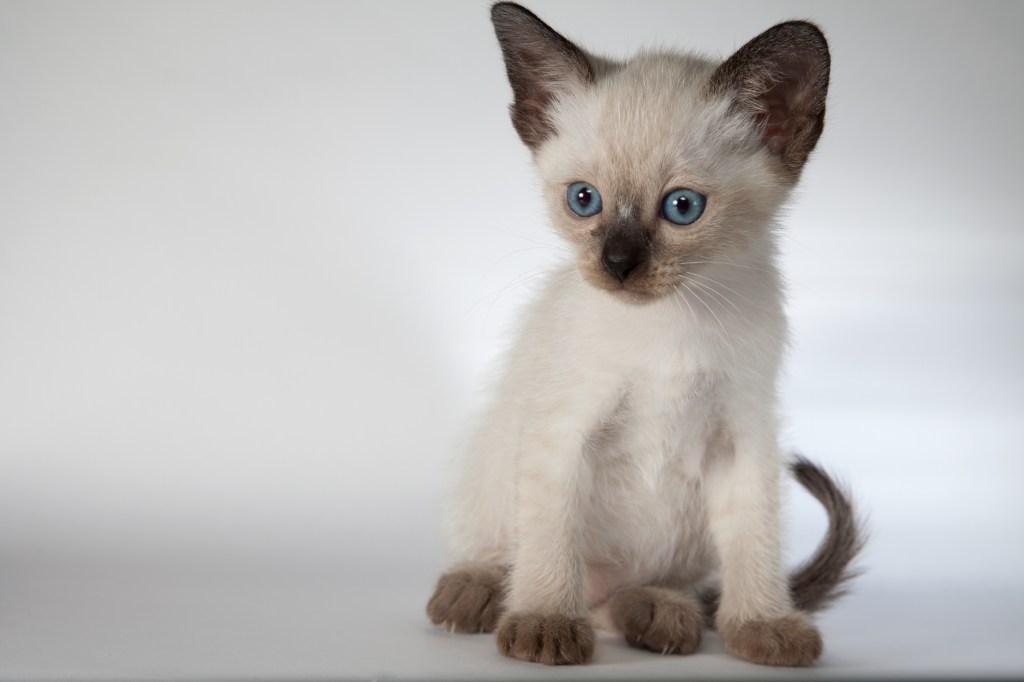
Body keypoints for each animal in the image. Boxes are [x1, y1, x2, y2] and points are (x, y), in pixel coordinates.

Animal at [425, 2, 864, 667]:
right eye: (584, 200)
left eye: (682, 207)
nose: (618, 264)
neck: (671, 323)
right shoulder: (562, 432)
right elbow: (550, 540)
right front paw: (545, 622)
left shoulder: (744, 438)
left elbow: (755, 537)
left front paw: (762, 623)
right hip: (494, 469)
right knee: (508, 553)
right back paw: (478, 592)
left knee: (619, 599)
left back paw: (659, 613)